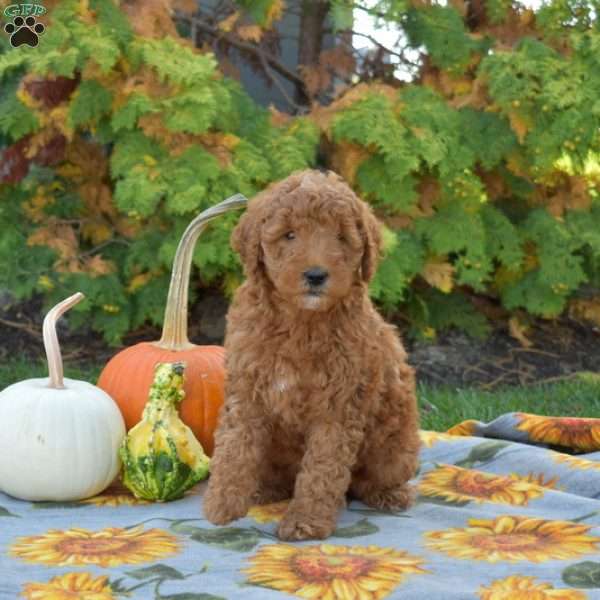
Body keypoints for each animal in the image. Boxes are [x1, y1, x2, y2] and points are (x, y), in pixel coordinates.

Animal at [204, 170, 420, 544]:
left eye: (341, 237)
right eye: (290, 235)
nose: (316, 275)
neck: (300, 320)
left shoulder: (338, 406)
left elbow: (322, 469)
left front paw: (305, 522)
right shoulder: (246, 389)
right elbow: (235, 446)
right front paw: (223, 503)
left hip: (396, 442)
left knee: (371, 479)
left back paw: (389, 494)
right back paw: (263, 489)